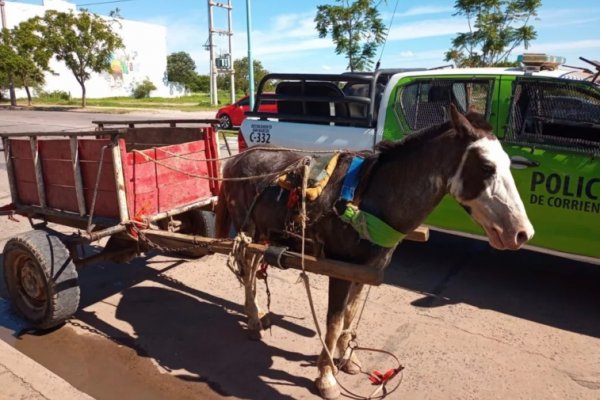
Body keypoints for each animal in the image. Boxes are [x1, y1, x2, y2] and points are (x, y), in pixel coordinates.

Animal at [216, 104, 536, 398]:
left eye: (508, 164)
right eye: (486, 167)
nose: (521, 233)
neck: (366, 199)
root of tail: (235, 160)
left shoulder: (364, 270)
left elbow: (351, 315)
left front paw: (348, 359)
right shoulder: (339, 268)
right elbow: (334, 322)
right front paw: (326, 377)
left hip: (263, 235)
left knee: (252, 270)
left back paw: (258, 313)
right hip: (248, 230)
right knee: (248, 270)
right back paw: (254, 321)